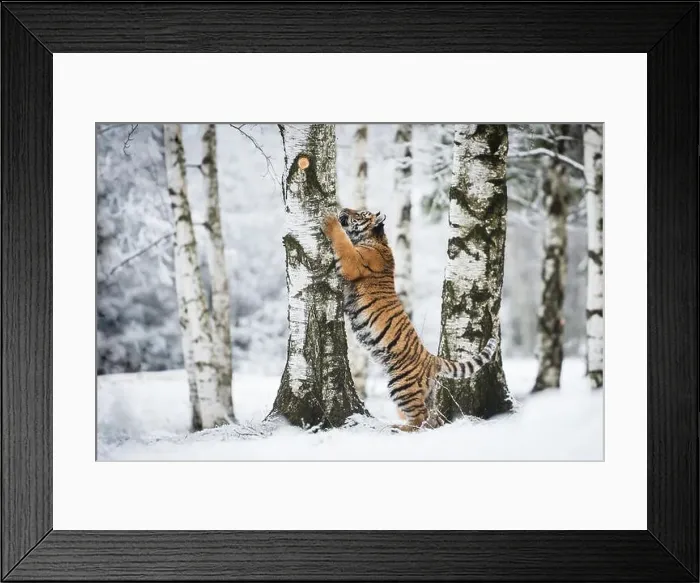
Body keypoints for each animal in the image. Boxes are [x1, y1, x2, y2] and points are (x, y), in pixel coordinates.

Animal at [321, 207, 498, 431]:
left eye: (360, 214)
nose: (343, 210)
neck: (376, 239)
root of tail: (432, 358)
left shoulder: (352, 262)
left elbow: (342, 242)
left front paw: (329, 221)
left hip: (401, 385)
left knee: (420, 418)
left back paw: (399, 428)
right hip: (425, 392)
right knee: (432, 418)